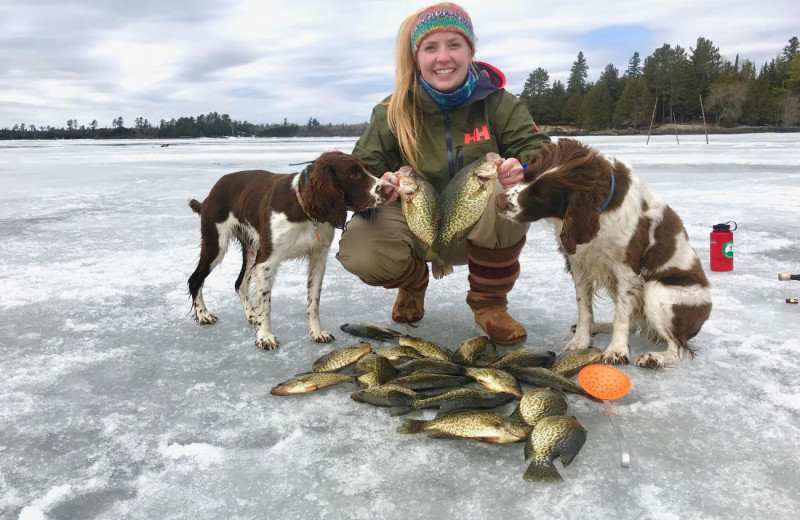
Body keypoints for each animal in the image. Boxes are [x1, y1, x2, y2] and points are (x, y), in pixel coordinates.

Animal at [184, 152, 390, 352]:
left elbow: (314, 301)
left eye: (368, 169)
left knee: (239, 283)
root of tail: (210, 194)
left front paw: (317, 332)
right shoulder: (267, 261)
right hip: (216, 244)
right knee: (195, 279)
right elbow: (266, 303)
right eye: (353, 175)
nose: (389, 189)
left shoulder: (318, 258)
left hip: (251, 249)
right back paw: (203, 315)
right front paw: (265, 337)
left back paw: (251, 314)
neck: (305, 209)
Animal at [500, 138, 712, 366]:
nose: (499, 201)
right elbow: (584, 308)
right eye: (526, 175)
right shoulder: (578, 263)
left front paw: (617, 350)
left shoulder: (626, 270)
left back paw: (655, 358)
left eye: (540, 195)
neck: (600, 211)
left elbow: (621, 316)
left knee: (680, 349)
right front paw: (580, 342)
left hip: (656, 290)